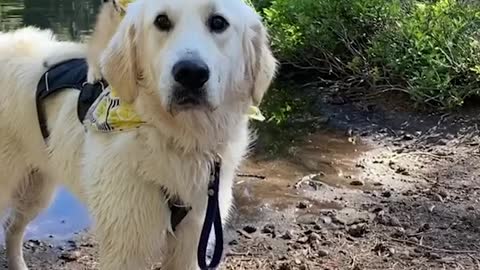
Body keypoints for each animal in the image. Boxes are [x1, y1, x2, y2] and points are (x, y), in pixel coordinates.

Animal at [0, 0, 278, 270]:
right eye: (161, 21)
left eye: (218, 22)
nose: (190, 73)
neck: (176, 138)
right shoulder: (126, 245)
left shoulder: (193, 239)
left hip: (38, 188)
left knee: (13, 226)